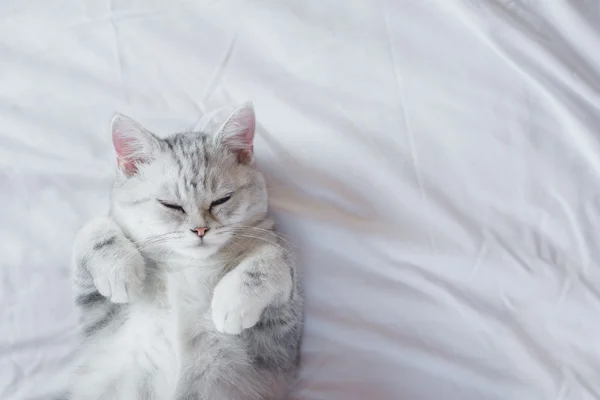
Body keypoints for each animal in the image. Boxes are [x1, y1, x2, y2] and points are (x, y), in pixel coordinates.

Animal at [69, 104, 304, 400]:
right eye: (171, 205)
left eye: (221, 200)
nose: (200, 230)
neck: (190, 266)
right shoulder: (97, 313)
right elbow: (94, 226)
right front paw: (119, 271)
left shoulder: (280, 336)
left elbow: (274, 256)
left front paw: (233, 302)